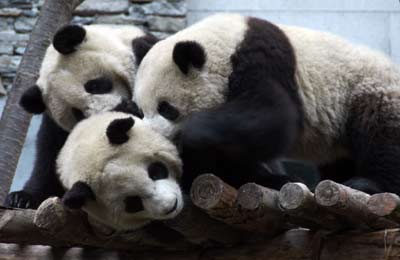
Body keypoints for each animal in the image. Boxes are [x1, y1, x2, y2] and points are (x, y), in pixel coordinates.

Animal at [5, 23, 158, 207]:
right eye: (77, 113)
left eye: (95, 86)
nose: (113, 112)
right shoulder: (56, 127)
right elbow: (50, 159)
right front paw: (22, 198)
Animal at [134, 13, 400, 194]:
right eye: (140, 110)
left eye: (166, 108)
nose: (156, 138)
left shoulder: (261, 59)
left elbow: (273, 117)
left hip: (370, 90)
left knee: (381, 136)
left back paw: (367, 183)